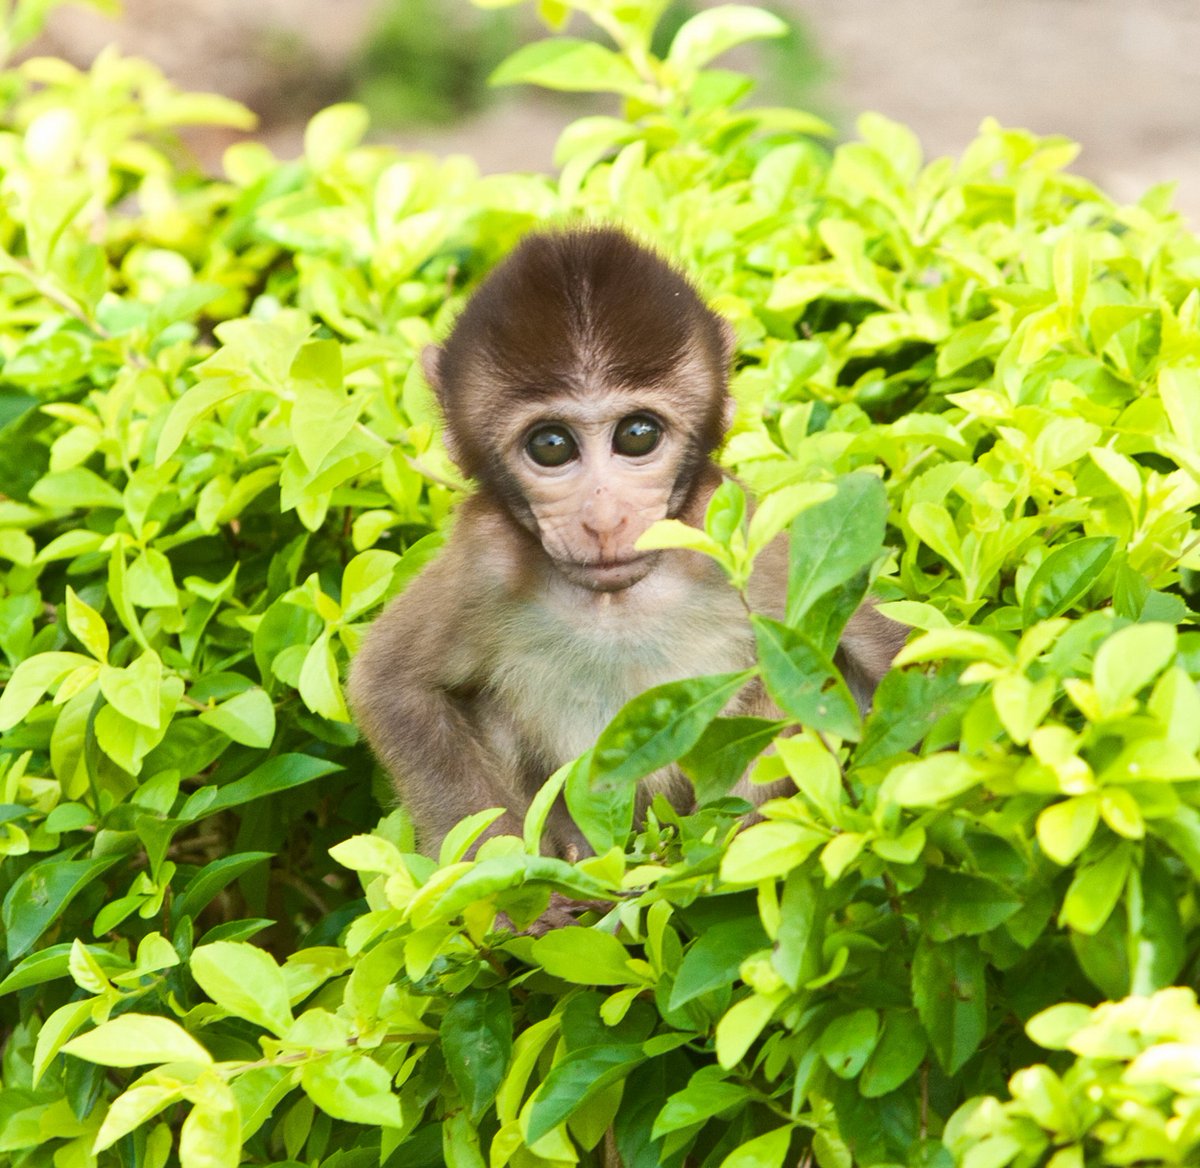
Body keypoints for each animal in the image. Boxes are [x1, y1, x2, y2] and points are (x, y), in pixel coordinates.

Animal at [348, 225, 902, 854]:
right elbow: (391, 685)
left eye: (638, 435)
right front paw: (513, 882)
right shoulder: (484, 556)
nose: (604, 519)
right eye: (551, 446)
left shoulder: (736, 534)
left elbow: (888, 651)